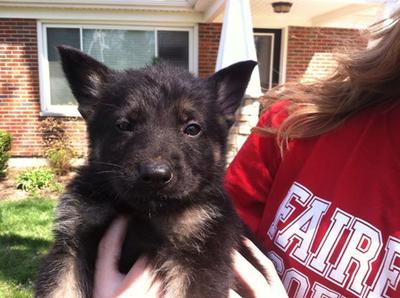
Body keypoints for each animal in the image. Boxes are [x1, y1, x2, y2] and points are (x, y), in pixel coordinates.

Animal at [34, 44, 260, 298]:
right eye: (124, 125)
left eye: (192, 128)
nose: (155, 176)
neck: (141, 211)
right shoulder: (71, 247)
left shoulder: (200, 256)